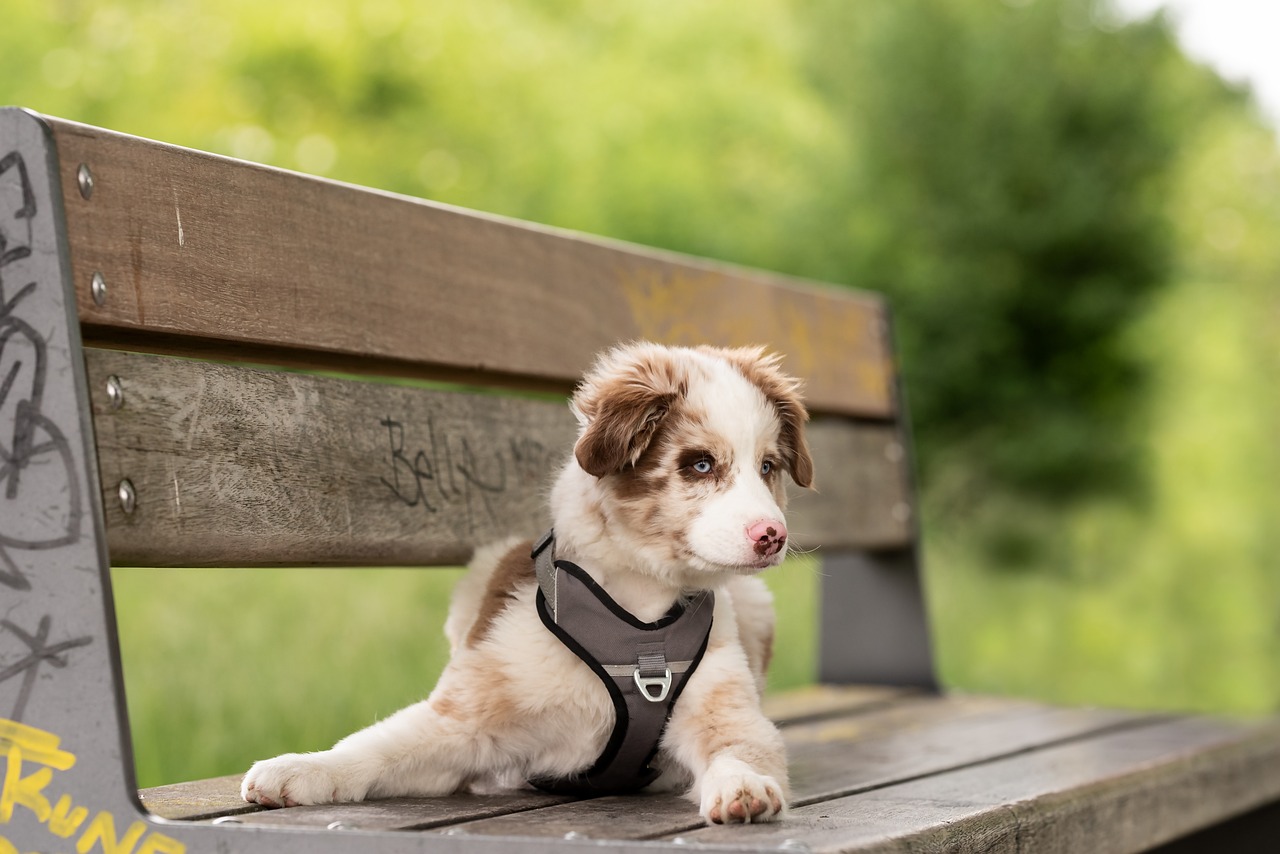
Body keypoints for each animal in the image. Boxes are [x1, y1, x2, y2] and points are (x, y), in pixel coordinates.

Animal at [241, 343, 808, 824]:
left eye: (767, 466)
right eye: (700, 464)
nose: (772, 536)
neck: (636, 611)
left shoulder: (726, 709)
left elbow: (739, 747)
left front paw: (744, 787)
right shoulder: (466, 714)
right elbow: (376, 746)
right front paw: (304, 768)